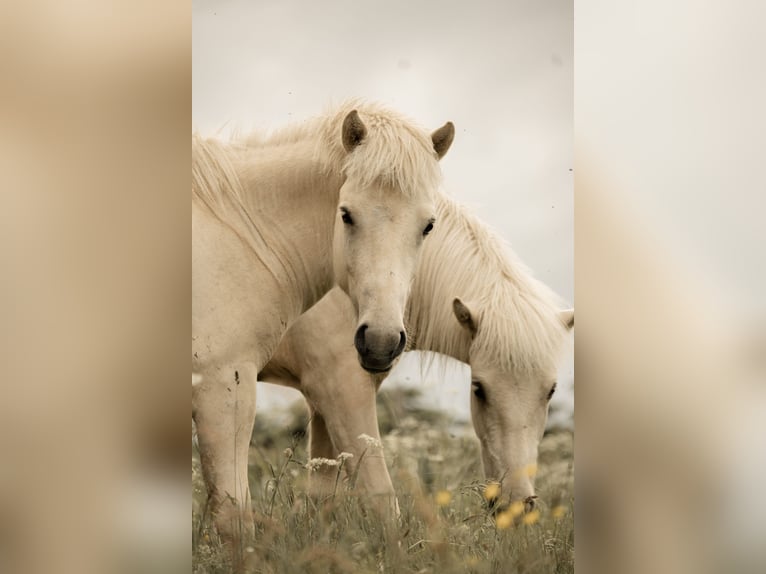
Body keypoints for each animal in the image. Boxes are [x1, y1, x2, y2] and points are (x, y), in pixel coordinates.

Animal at [194, 100, 456, 544]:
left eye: (428, 225)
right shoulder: (223, 383)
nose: (381, 341)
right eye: (346, 214)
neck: (242, 234)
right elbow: (235, 522)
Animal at [260, 197, 572, 512]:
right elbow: (382, 498)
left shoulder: (322, 404)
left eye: (551, 391)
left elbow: (320, 496)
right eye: (478, 389)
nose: (517, 504)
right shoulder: (342, 391)